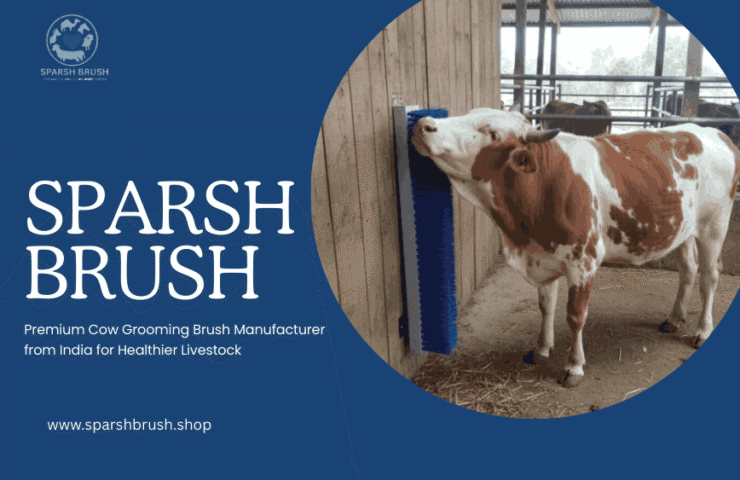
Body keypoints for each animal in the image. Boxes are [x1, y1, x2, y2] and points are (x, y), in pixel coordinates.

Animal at [411, 106, 740, 387]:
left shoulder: (584, 261)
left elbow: (575, 315)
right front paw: (541, 348)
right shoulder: (544, 255)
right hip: (682, 230)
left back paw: (702, 330)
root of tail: (713, 133)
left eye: (492, 134)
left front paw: (574, 366)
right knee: (688, 270)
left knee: (709, 277)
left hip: (714, 225)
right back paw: (673, 319)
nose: (424, 124)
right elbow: (546, 306)